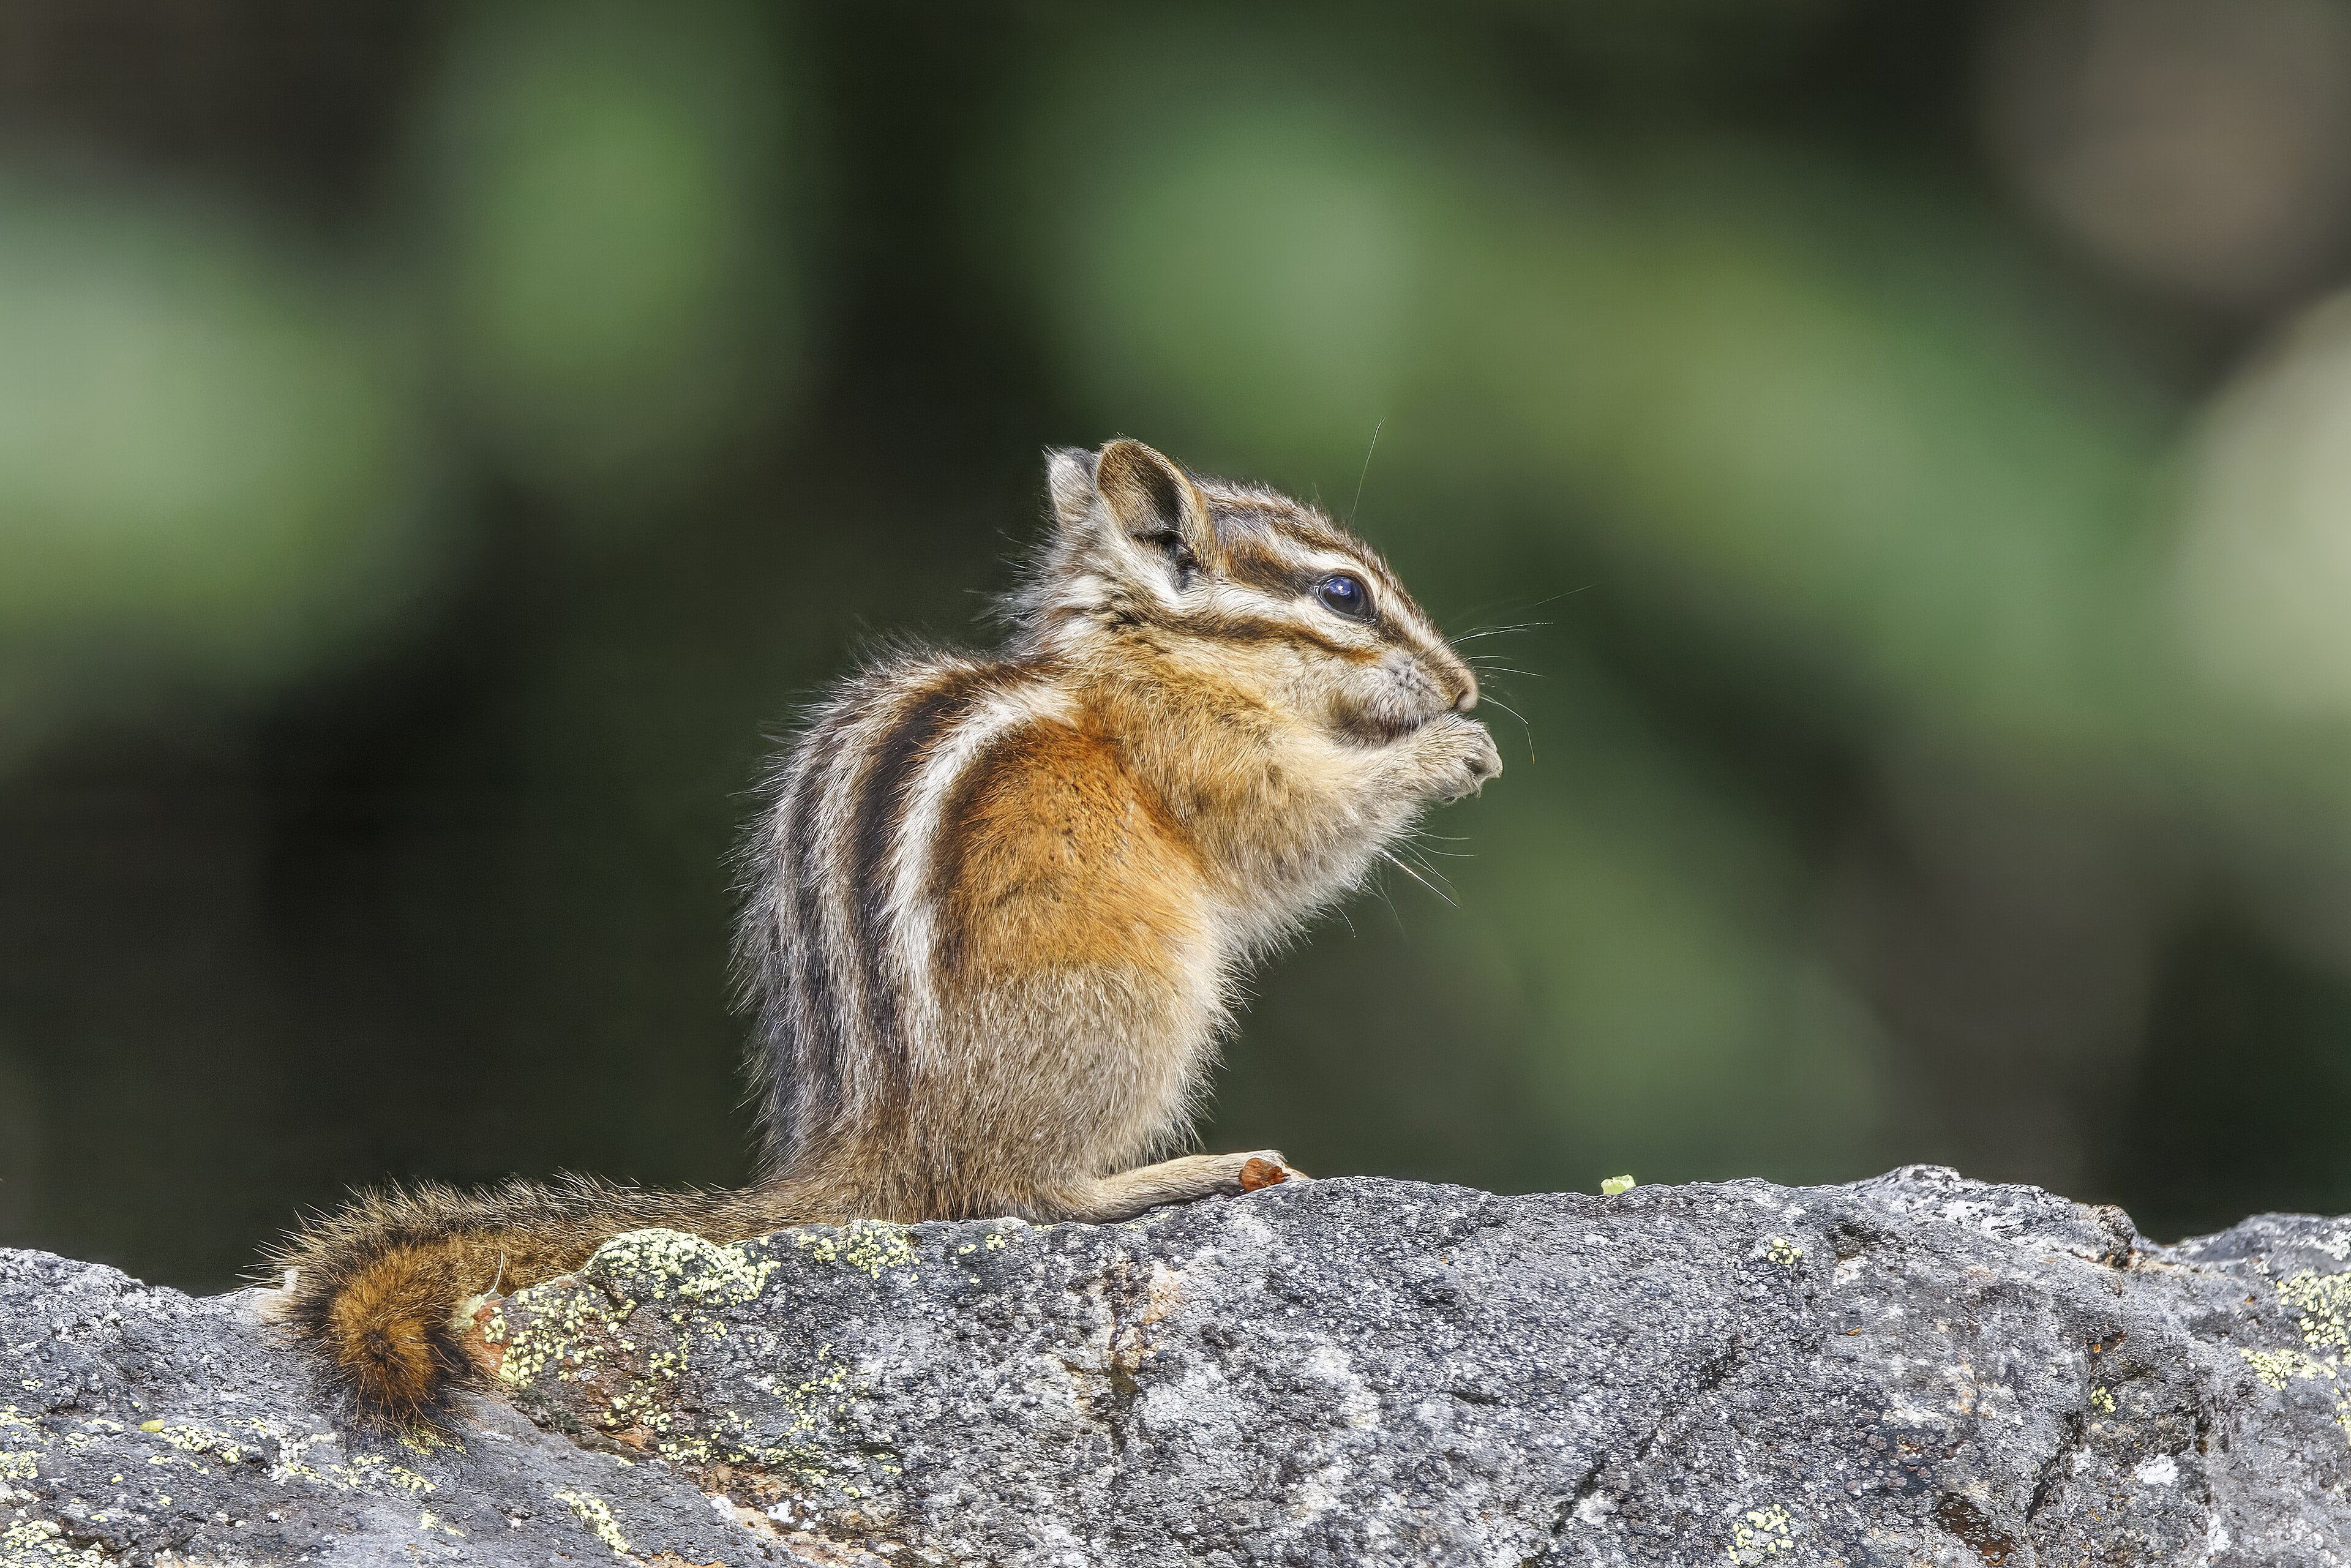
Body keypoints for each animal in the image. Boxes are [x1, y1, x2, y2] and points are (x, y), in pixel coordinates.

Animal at [264, 438, 1500, 1425]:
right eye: (1344, 595)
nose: (1464, 685)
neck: (1143, 653)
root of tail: (873, 1146)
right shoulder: (1205, 751)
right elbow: (1300, 832)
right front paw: (1449, 756)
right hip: (1140, 1007)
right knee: (1015, 1192)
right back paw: (1176, 1175)